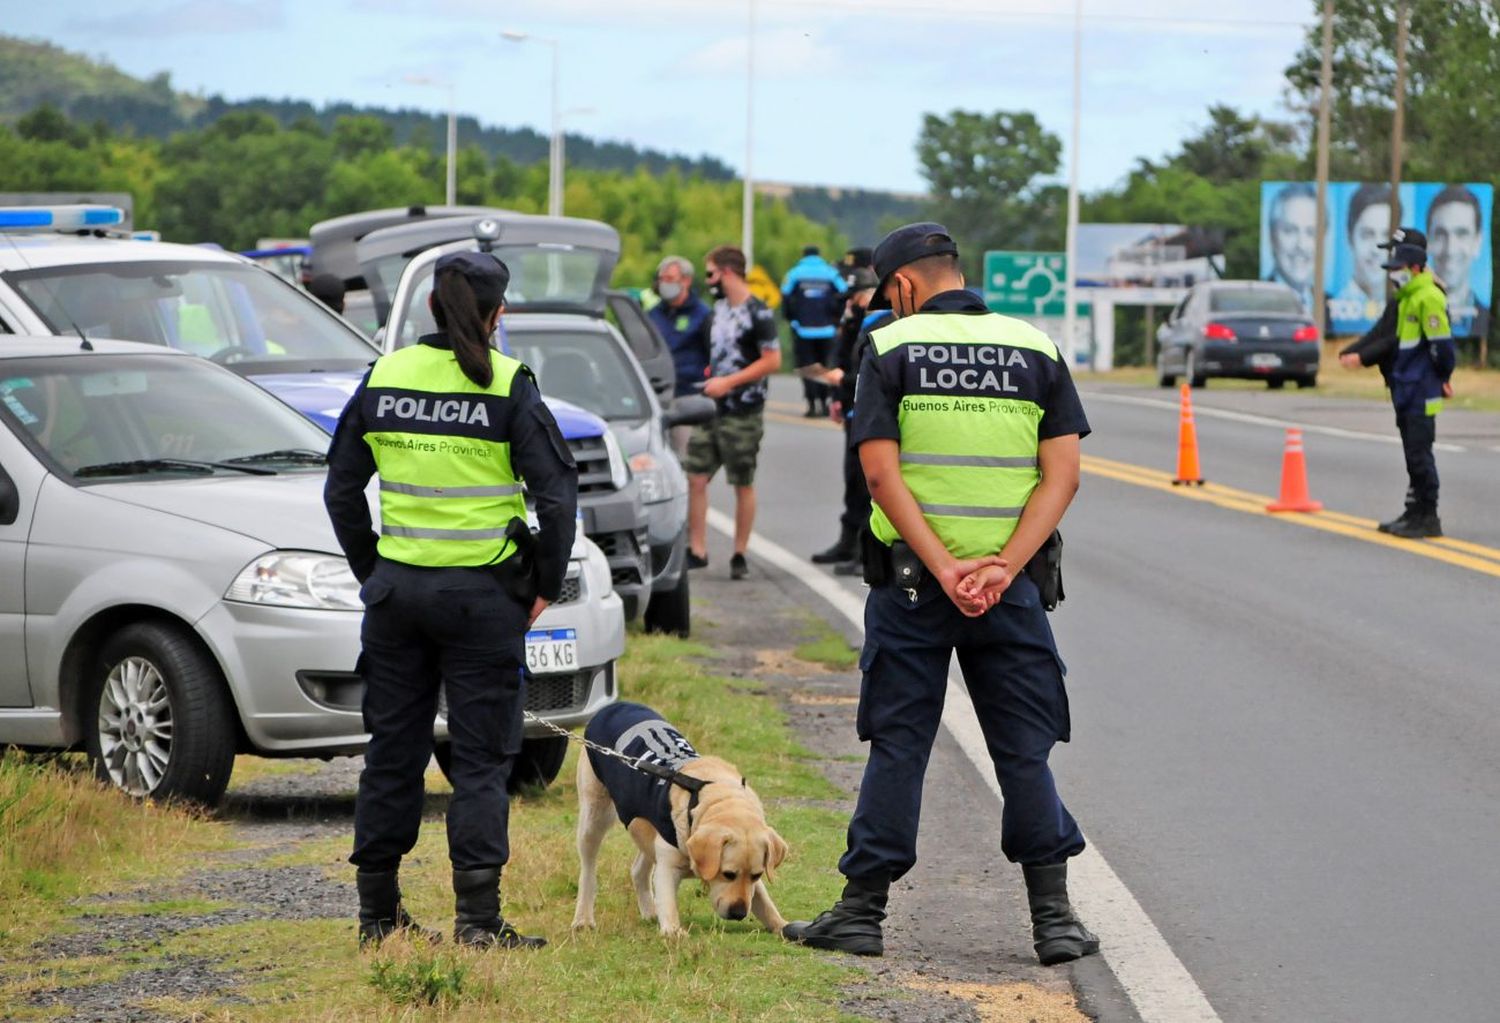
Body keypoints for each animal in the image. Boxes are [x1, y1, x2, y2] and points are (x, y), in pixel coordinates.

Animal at [570, 702, 792, 930]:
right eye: (728, 874)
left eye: (757, 875)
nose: (738, 913)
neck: (713, 799)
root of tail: (617, 705)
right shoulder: (667, 866)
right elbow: (668, 903)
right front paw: (674, 931)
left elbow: (765, 903)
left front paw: (784, 926)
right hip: (594, 818)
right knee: (588, 870)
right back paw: (583, 918)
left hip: (645, 827)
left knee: (638, 869)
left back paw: (649, 912)